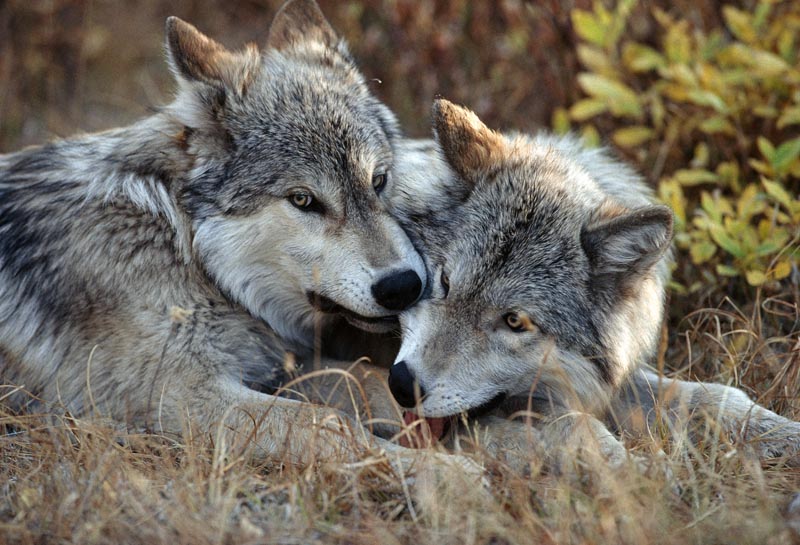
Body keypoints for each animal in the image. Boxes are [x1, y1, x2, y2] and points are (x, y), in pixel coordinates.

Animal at [0, 0, 476, 474]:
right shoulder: (183, 395)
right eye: (303, 199)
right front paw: (451, 475)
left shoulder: (276, 363)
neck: (183, 247)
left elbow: (369, 380)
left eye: (378, 181)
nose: (403, 286)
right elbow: (326, 421)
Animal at [380, 100, 800, 470]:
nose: (401, 385)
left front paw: (781, 433)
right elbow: (574, 427)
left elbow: (708, 396)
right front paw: (635, 472)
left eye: (515, 321)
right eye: (445, 282)